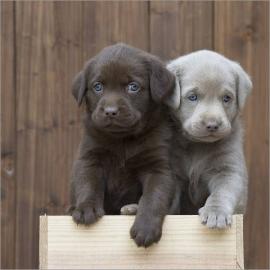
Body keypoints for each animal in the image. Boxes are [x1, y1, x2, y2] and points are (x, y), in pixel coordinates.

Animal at [69, 43, 179, 247]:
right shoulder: (90, 158)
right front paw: (86, 208)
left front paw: (146, 228)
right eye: (97, 87)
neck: (123, 140)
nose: (110, 111)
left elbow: (153, 196)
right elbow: (88, 183)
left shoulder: (158, 168)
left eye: (133, 87)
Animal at [168, 50, 252, 228]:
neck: (197, 145)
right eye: (192, 97)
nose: (212, 125)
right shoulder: (172, 171)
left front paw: (216, 212)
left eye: (227, 98)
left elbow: (222, 192)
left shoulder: (228, 170)